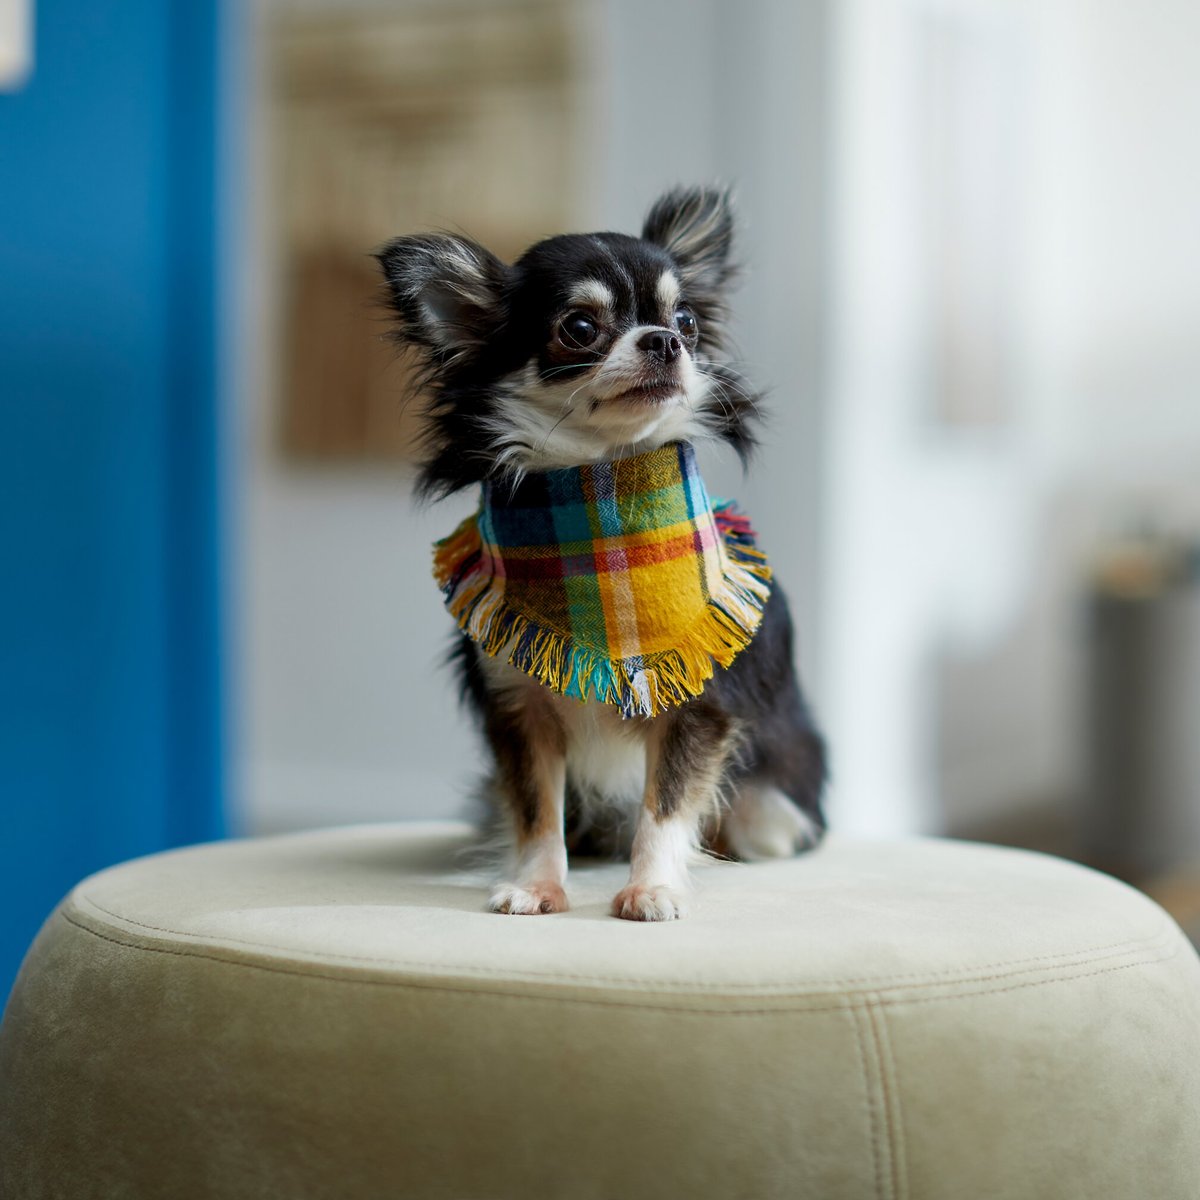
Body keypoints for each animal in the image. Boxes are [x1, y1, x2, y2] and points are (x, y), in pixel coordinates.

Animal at [374, 184, 825, 916]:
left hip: (773, 809)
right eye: (580, 328)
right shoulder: (521, 711)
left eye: (688, 321)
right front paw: (536, 886)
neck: (601, 494)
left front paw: (653, 888)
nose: (666, 339)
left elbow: (665, 807)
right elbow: (536, 810)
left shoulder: (693, 706)